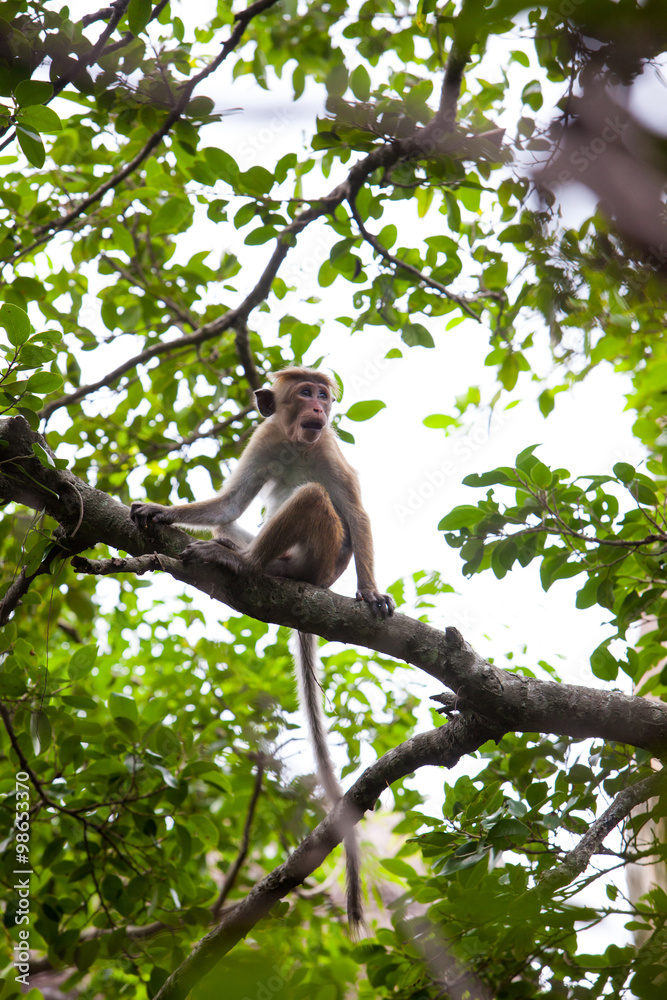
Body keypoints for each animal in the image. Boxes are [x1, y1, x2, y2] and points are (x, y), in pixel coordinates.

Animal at [130, 367, 394, 927]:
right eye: (305, 391)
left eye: (324, 394)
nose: (319, 405)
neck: (297, 442)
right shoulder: (265, 437)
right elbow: (231, 502)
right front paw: (161, 510)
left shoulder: (328, 447)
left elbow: (356, 513)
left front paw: (369, 592)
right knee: (242, 518)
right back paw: (234, 548)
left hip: (317, 559)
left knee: (314, 498)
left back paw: (244, 563)